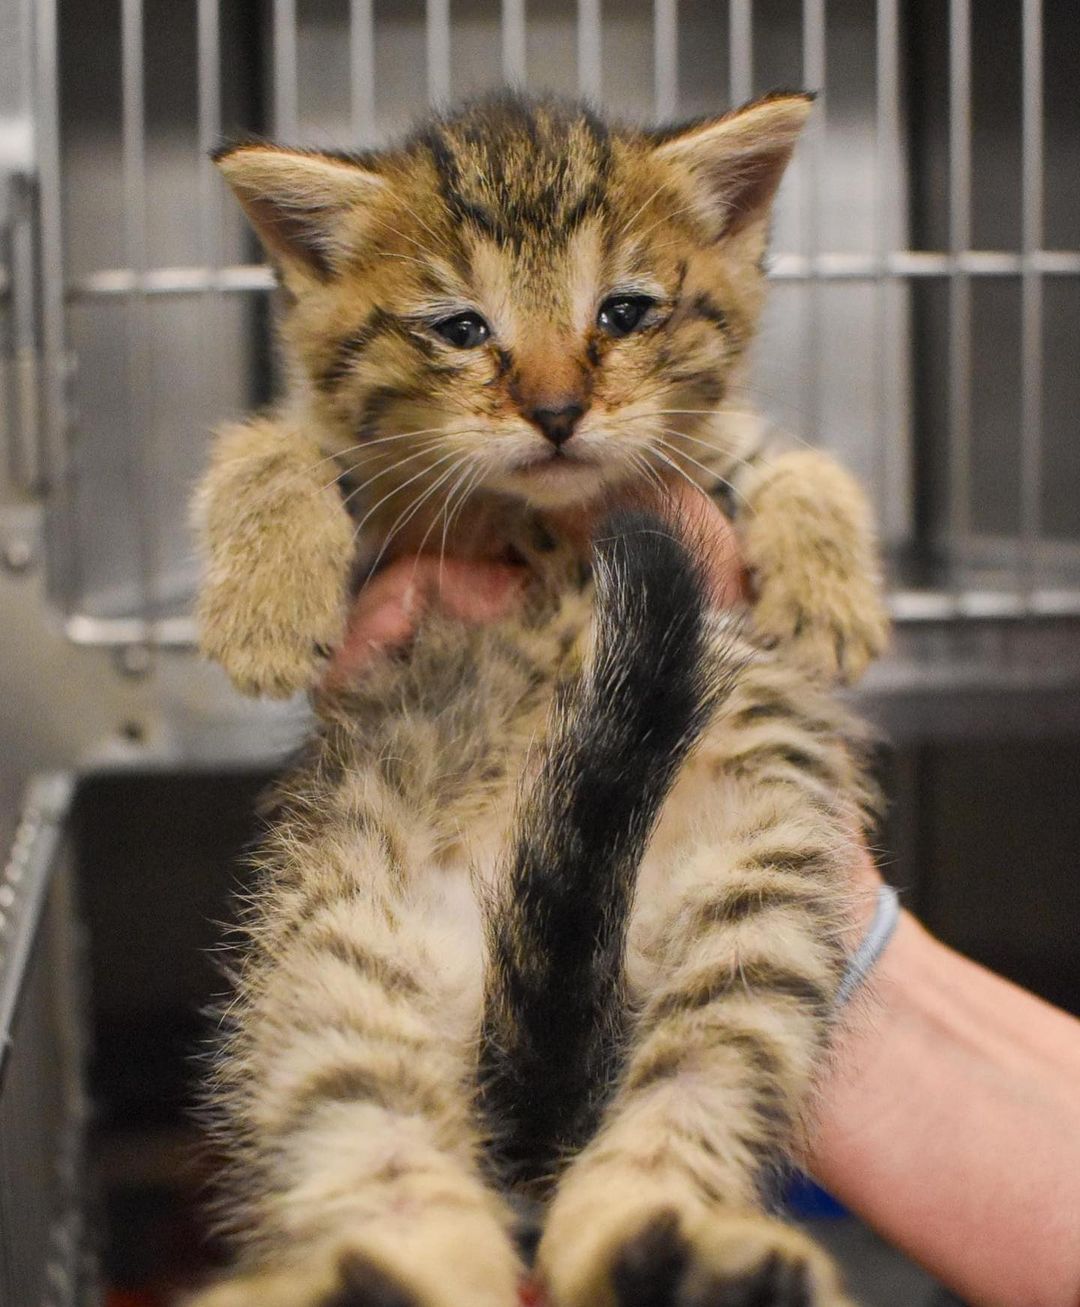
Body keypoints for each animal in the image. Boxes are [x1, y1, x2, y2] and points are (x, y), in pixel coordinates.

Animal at [193, 94, 883, 1307]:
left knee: (701, 1079)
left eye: (625, 310)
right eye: (461, 327)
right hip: (325, 942)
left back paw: (678, 1243)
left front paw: (828, 583)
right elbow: (281, 443)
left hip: (759, 916)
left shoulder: (702, 472)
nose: (559, 409)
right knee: (358, 1115)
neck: (547, 523)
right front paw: (266, 599)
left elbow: (781, 459)